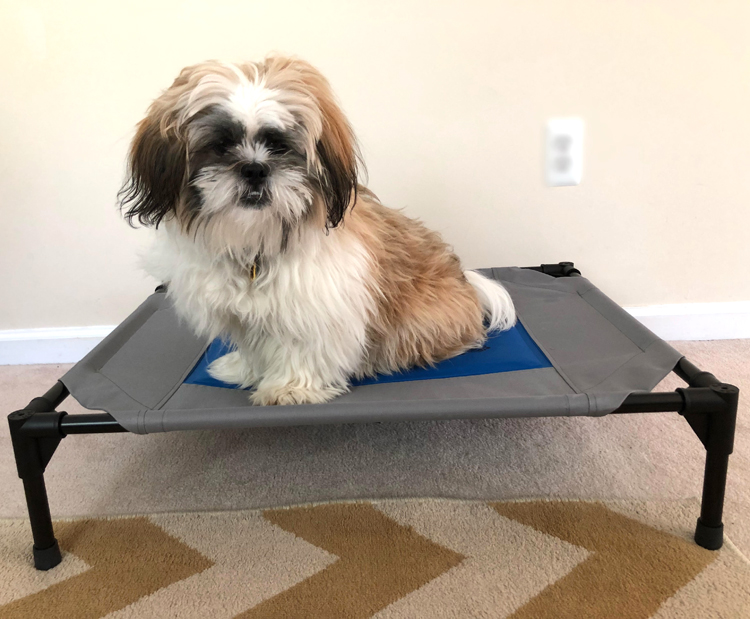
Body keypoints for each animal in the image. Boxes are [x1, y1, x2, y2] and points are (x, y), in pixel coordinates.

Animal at [122, 54, 516, 406]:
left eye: (279, 145)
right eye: (221, 145)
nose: (254, 169)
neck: (258, 243)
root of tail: (467, 285)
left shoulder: (316, 306)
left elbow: (302, 349)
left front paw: (289, 389)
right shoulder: (247, 318)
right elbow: (253, 347)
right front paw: (245, 371)